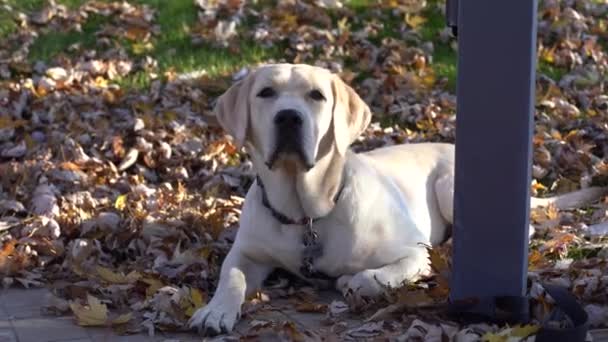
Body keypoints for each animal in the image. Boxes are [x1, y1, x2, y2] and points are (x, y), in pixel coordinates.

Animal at [189, 63, 604, 334]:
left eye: (316, 96)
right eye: (266, 93)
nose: (289, 117)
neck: (306, 211)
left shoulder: (412, 251)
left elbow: (378, 276)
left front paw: (356, 280)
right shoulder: (248, 252)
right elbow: (231, 277)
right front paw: (214, 311)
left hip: (450, 185)